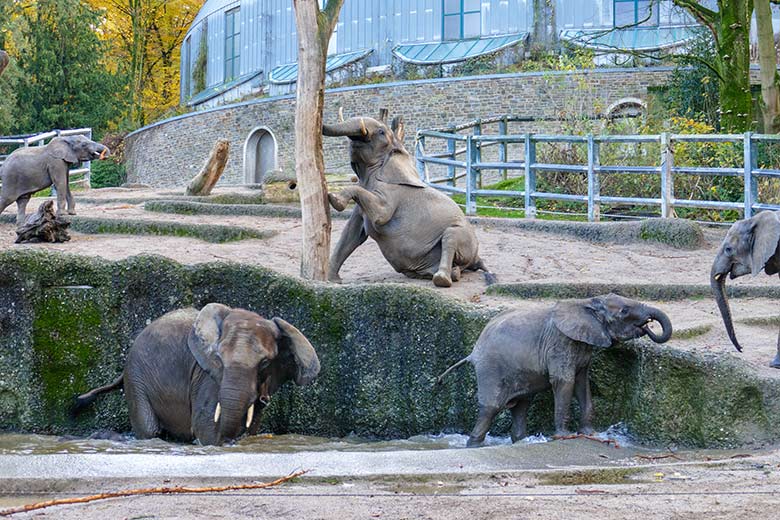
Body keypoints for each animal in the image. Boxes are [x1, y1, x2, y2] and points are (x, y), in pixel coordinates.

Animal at [71, 302, 320, 444]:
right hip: (136, 377)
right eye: (218, 357)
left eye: (265, 363)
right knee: (149, 429)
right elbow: (205, 426)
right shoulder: (207, 376)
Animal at [322, 112, 494, 288]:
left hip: (463, 237)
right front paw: (331, 281)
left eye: (381, 132)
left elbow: (380, 216)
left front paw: (334, 199)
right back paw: (446, 273)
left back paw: (442, 278)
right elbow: (351, 234)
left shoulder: (393, 193)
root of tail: (476, 258)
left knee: (451, 237)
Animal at [436, 294, 672, 444]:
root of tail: (473, 353)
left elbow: (582, 383)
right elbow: (564, 382)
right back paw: (474, 444)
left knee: (521, 405)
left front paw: (590, 433)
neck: (586, 303)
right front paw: (564, 436)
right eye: (624, 311)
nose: (648, 325)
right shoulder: (560, 343)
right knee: (491, 408)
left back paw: (520, 441)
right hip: (490, 369)